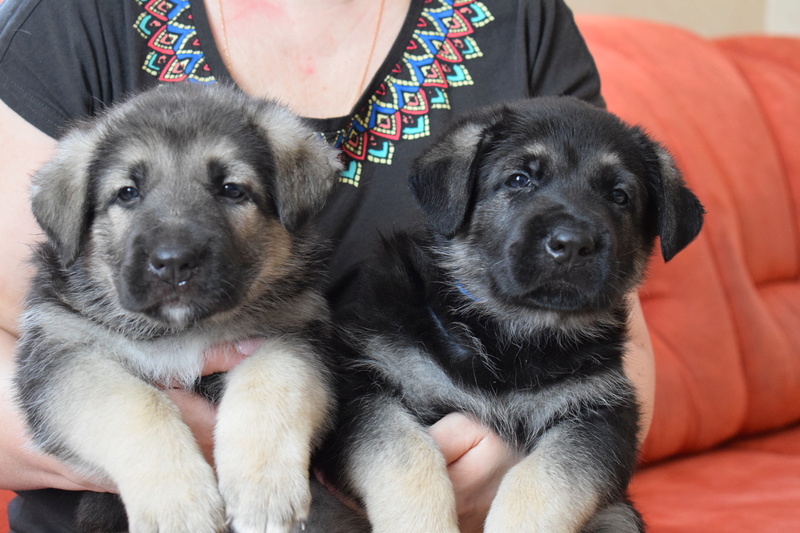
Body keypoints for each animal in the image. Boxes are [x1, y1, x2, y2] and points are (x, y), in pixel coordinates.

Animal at [13, 83, 344, 532]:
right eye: (128, 193)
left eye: (232, 189)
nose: (173, 262)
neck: (179, 331)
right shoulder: (62, 353)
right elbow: (135, 404)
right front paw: (179, 505)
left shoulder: (295, 333)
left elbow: (271, 382)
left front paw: (264, 489)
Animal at [318, 96, 708, 532]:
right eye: (519, 179)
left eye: (619, 196)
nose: (572, 244)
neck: (508, 332)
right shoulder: (366, 389)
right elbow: (406, 456)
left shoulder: (600, 412)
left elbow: (543, 480)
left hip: (618, 515)